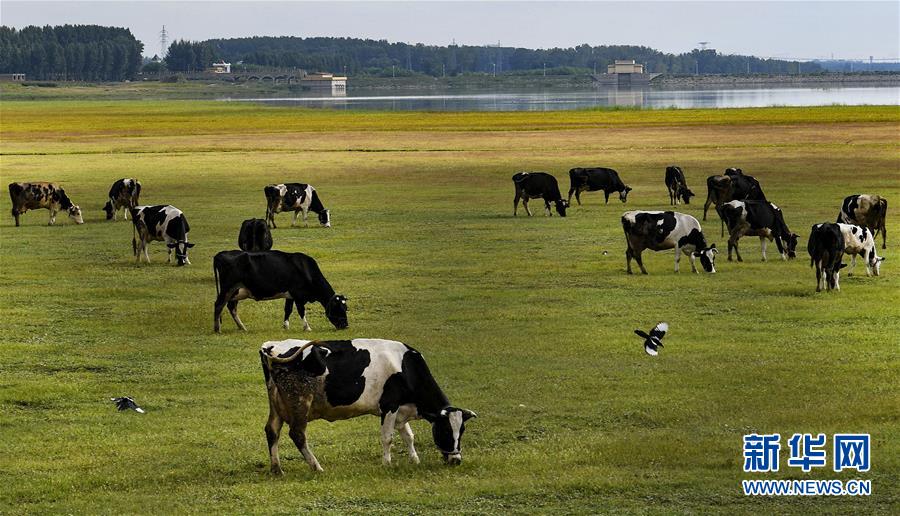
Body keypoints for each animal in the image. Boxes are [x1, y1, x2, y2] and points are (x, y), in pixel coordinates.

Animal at [213, 251, 350, 334]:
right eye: (339, 308)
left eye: (346, 308)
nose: (346, 325)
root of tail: (220, 254)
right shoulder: (298, 295)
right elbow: (301, 311)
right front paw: (307, 327)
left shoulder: (290, 296)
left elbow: (287, 309)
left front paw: (286, 326)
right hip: (228, 288)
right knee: (219, 305)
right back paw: (217, 329)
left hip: (236, 292)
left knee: (231, 307)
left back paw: (242, 327)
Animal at [260, 338, 478, 472]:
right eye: (445, 430)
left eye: (462, 431)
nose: (456, 460)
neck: (405, 366)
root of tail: (271, 346)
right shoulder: (390, 405)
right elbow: (388, 438)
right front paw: (387, 463)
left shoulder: (401, 409)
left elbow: (408, 436)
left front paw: (414, 460)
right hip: (300, 402)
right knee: (297, 434)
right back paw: (317, 467)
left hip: (276, 404)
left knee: (272, 430)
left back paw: (277, 468)